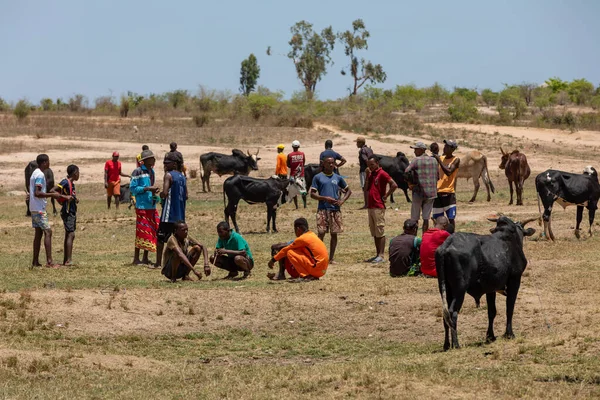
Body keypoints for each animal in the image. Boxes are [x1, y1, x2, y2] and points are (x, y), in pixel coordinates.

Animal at [436, 216, 536, 350]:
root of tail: (446, 245)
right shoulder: (515, 280)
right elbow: (509, 308)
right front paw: (509, 334)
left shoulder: (491, 288)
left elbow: (491, 311)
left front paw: (490, 336)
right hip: (459, 290)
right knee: (452, 313)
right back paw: (456, 344)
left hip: (446, 289)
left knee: (445, 314)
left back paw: (446, 344)